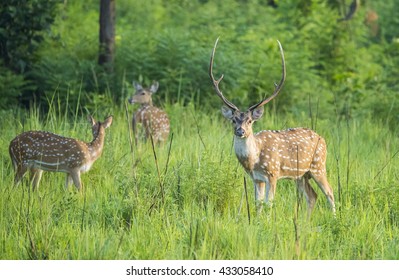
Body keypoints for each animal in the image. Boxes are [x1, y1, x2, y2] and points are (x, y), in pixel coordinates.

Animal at [211, 37, 336, 214]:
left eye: (250, 121)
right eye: (233, 119)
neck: (254, 160)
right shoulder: (256, 178)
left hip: (318, 165)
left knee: (330, 192)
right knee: (312, 196)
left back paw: (334, 217)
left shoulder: (273, 173)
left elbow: (269, 203)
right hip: (301, 174)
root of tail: (323, 139)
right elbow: (258, 204)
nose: (240, 131)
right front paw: (256, 220)